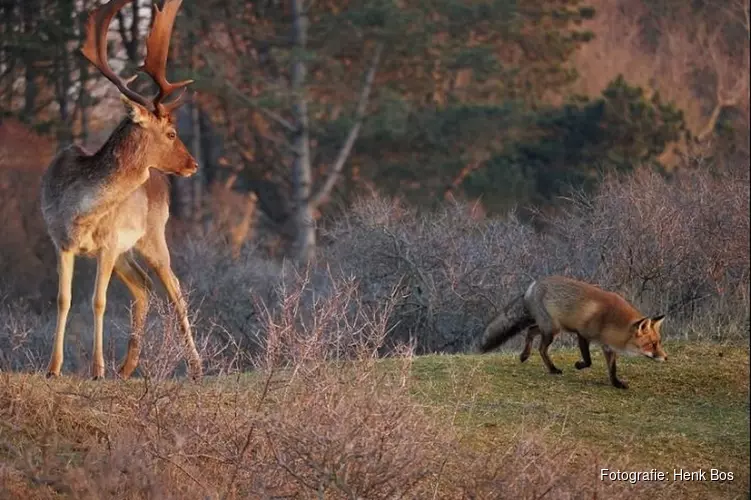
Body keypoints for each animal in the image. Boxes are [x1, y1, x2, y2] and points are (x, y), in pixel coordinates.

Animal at [478, 276, 668, 388]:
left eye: (658, 342)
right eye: (651, 344)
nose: (666, 358)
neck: (610, 321)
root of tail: (531, 287)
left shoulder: (608, 347)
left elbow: (612, 369)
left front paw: (616, 383)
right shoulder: (582, 334)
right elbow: (588, 361)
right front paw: (578, 365)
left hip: (550, 328)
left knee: (530, 332)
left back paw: (524, 355)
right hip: (552, 330)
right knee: (541, 348)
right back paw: (553, 369)